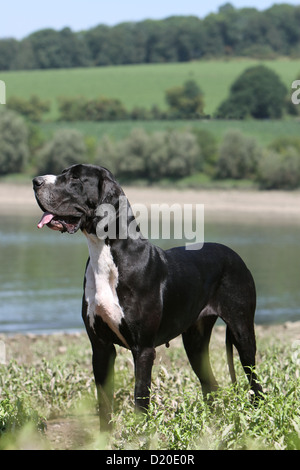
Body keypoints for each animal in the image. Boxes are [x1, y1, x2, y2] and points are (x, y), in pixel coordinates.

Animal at [33, 164, 262, 430]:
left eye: (75, 179)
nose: (36, 181)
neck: (105, 254)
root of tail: (235, 254)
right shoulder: (100, 347)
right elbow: (104, 403)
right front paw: (103, 436)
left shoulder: (142, 349)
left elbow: (140, 398)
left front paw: (140, 434)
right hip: (195, 340)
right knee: (211, 384)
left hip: (242, 331)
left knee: (255, 383)